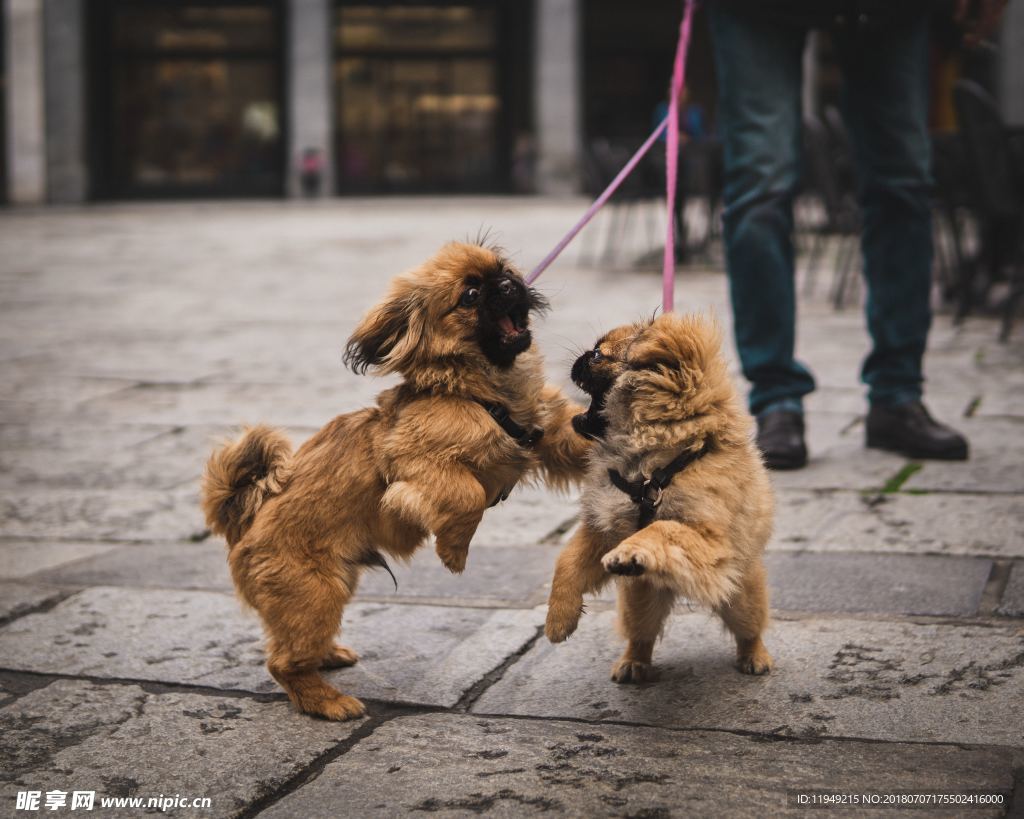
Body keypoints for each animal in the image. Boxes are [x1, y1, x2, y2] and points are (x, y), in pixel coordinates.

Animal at [201, 241, 593, 716]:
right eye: (470, 296)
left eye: (503, 270)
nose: (506, 283)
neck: (481, 392)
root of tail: (243, 525)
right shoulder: (413, 461)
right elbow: (467, 495)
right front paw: (454, 553)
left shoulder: (553, 434)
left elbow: (581, 437)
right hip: (315, 594)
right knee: (282, 663)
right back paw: (328, 702)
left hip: (332, 586)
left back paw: (328, 657)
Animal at [548, 313, 770, 683]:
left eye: (598, 355)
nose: (580, 357)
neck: (649, 465)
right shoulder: (601, 529)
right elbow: (566, 563)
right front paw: (558, 618)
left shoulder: (709, 538)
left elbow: (662, 528)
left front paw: (631, 551)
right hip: (639, 600)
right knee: (641, 635)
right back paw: (633, 663)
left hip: (741, 596)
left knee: (749, 628)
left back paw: (755, 657)